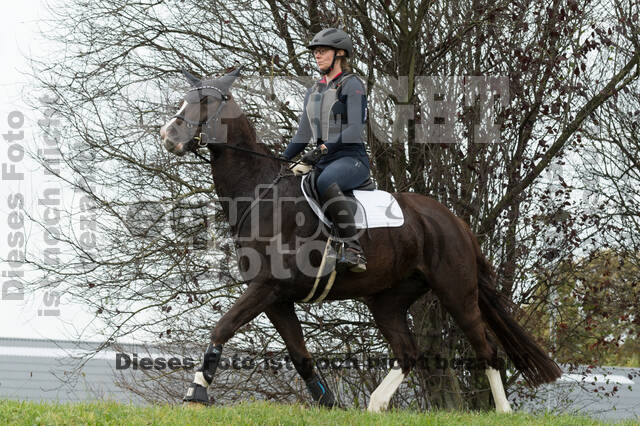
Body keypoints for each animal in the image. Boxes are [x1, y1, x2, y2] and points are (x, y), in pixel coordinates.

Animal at [159, 70, 560, 412]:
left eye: (209, 101)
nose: (169, 135)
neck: (261, 195)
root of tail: (453, 221)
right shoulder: (276, 298)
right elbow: (300, 356)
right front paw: (329, 404)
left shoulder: (267, 286)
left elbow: (222, 326)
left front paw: (196, 392)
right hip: (386, 299)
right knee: (407, 352)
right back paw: (375, 405)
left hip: (456, 291)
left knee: (486, 349)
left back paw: (502, 410)